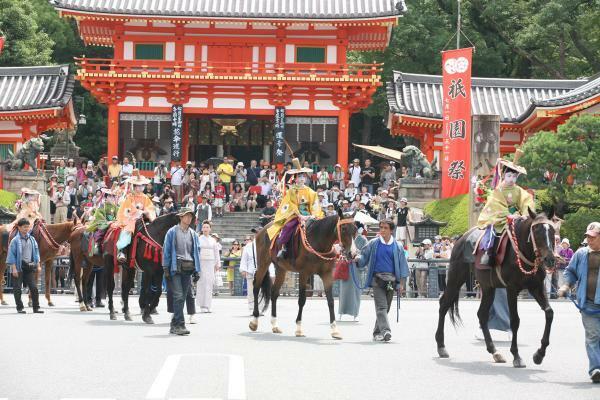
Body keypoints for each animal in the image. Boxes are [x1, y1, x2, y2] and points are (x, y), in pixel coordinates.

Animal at [248, 211, 356, 340]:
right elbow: (302, 300)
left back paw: (275, 325)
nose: (353, 253)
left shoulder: (327, 274)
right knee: (256, 288)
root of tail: (262, 230)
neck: (319, 241)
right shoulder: (304, 273)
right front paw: (299, 329)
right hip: (263, 263)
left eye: (355, 229)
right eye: (343, 229)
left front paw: (335, 330)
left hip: (281, 269)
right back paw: (254, 321)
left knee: (274, 293)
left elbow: (330, 301)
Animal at [436, 209, 556, 368]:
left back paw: (494, 351)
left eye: (553, 231)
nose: (550, 259)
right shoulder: (512, 288)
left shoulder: (536, 286)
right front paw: (516, 355)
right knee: (444, 304)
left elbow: (549, 313)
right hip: (456, 278)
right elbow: (514, 320)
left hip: (488, 287)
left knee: (482, 314)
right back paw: (441, 346)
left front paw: (539, 354)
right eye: (536, 231)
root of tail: (461, 238)